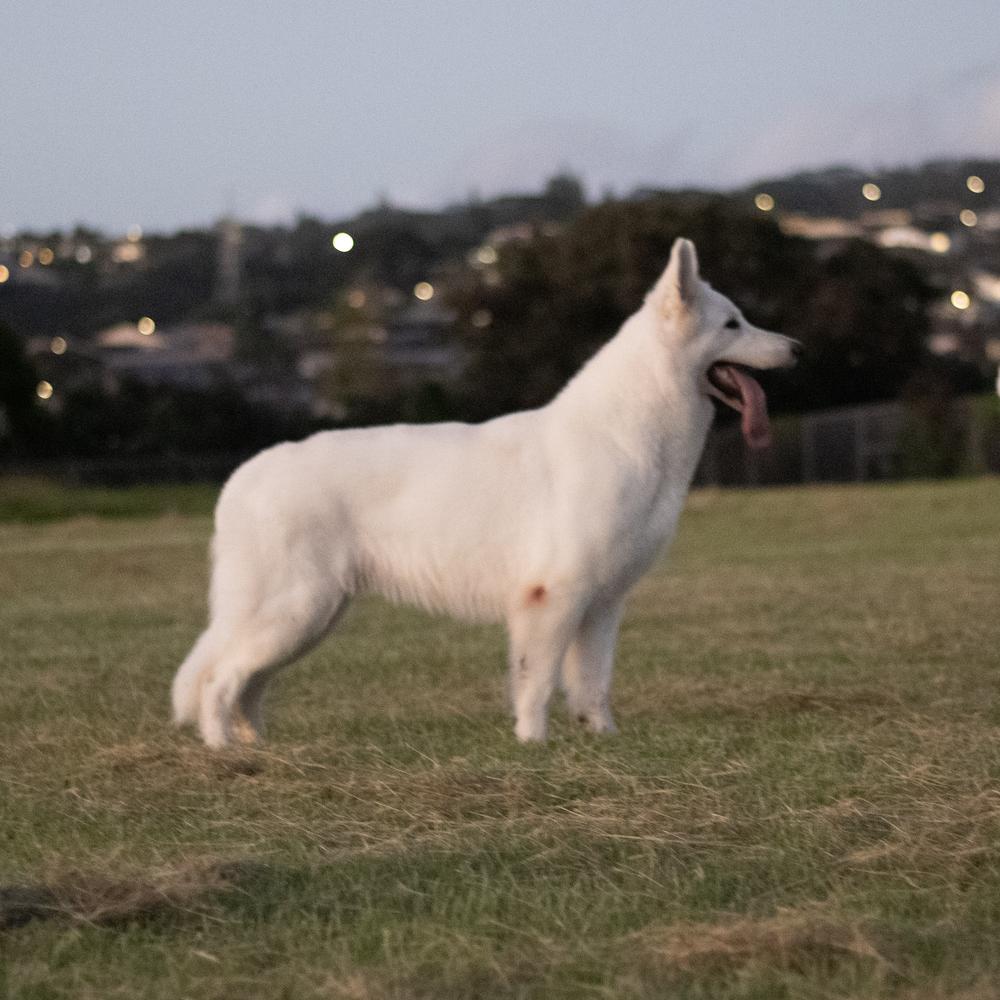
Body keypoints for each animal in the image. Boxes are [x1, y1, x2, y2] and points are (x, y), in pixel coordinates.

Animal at [170, 238, 796, 748]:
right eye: (733, 325)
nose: (796, 347)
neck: (627, 432)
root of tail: (242, 477)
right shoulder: (553, 598)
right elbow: (538, 682)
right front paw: (533, 744)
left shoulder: (602, 604)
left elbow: (593, 684)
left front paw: (603, 739)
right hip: (296, 611)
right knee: (221, 679)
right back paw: (223, 750)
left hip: (312, 618)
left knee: (248, 683)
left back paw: (255, 746)